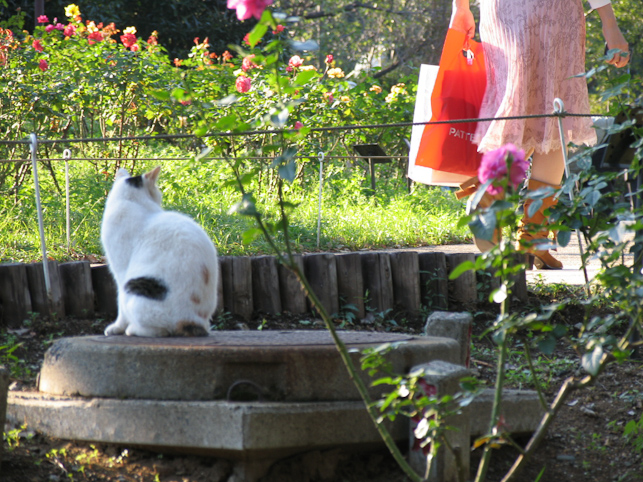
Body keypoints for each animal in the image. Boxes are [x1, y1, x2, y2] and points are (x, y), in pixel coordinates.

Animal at [101, 168, 219, 338]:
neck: (132, 201)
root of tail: (191, 321)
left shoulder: (120, 271)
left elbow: (120, 307)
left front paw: (117, 327)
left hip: (132, 290)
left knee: (160, 331)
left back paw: (132, 330)